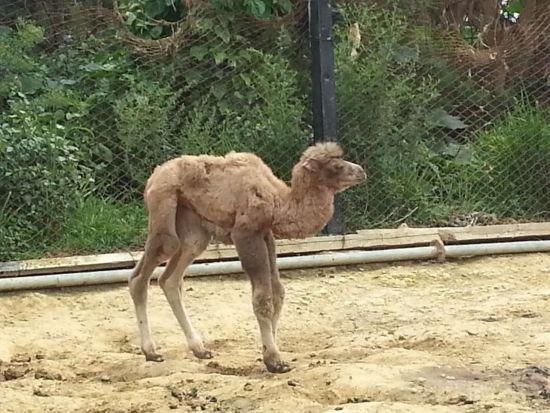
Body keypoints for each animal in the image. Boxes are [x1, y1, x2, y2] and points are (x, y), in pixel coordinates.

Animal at [130, 141, 366, 370]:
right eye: (335, 166)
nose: (361, 171)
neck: (278, 202)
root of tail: (153, 177)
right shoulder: (245, 233)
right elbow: (263, 297)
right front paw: (274, 360)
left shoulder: (265, 234)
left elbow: (278, 292)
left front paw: (270, 352)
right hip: (164, 209)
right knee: (144, 273)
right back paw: (151, 352)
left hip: (194, 227)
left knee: (171, 277)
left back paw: (200, 349)